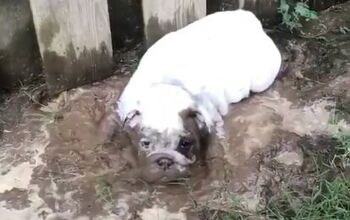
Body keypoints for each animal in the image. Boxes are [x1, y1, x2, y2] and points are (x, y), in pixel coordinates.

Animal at [117, 9, 282, 182]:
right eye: (145, 143)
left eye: (185, 143)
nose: (164, 159)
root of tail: (249, 17)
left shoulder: (212, 118)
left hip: (261, 80)